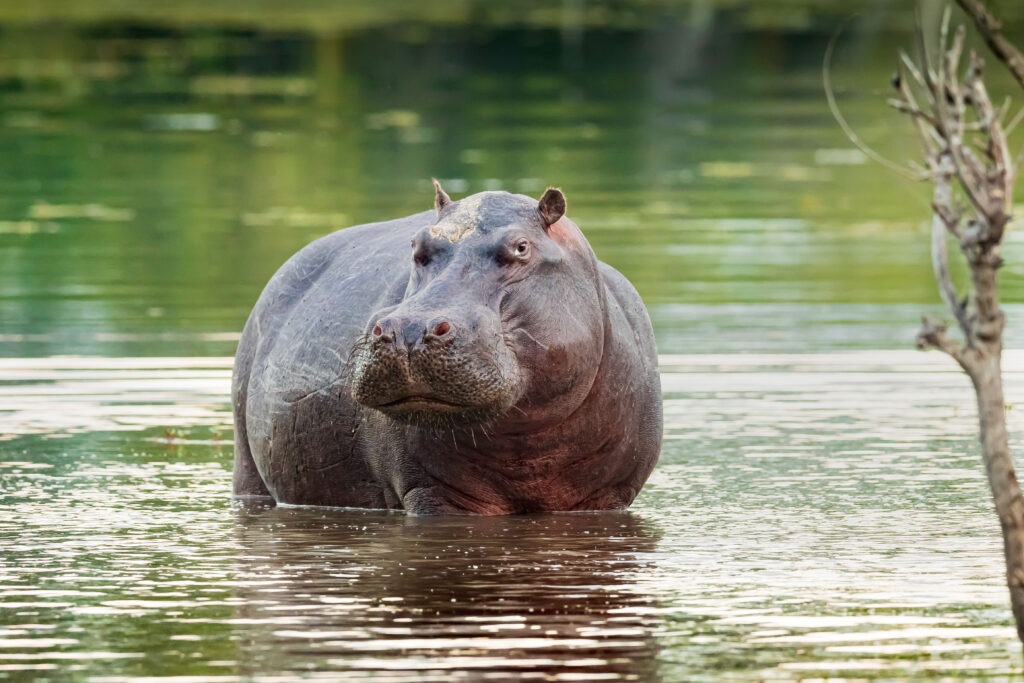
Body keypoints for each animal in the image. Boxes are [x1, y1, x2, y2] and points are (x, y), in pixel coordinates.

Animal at [231, 181, 662, 514]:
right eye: (417, 245)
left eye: (521, 247)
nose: (408, 329)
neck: (527, 442)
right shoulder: (431, 492)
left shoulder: (606, 497)